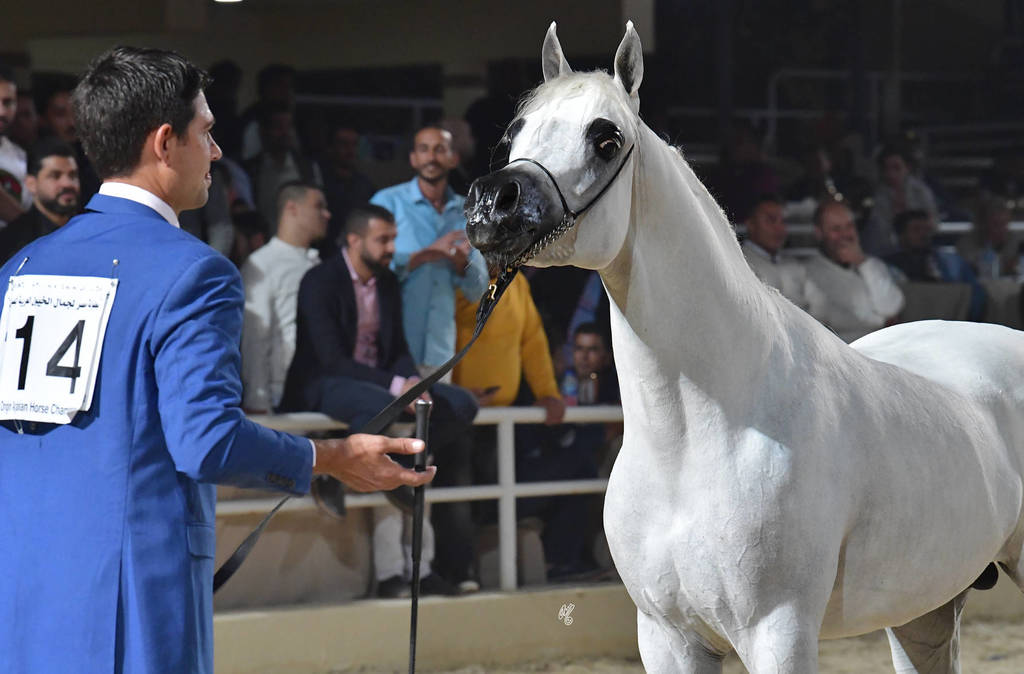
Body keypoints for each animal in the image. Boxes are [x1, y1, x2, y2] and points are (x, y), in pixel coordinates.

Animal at [464, 21, 1024, 673]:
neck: (693, 437)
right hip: (922, 609)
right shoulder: (666, 636)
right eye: (514, 134)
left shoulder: (777, 630)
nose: (492, 203)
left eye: (606, 138)